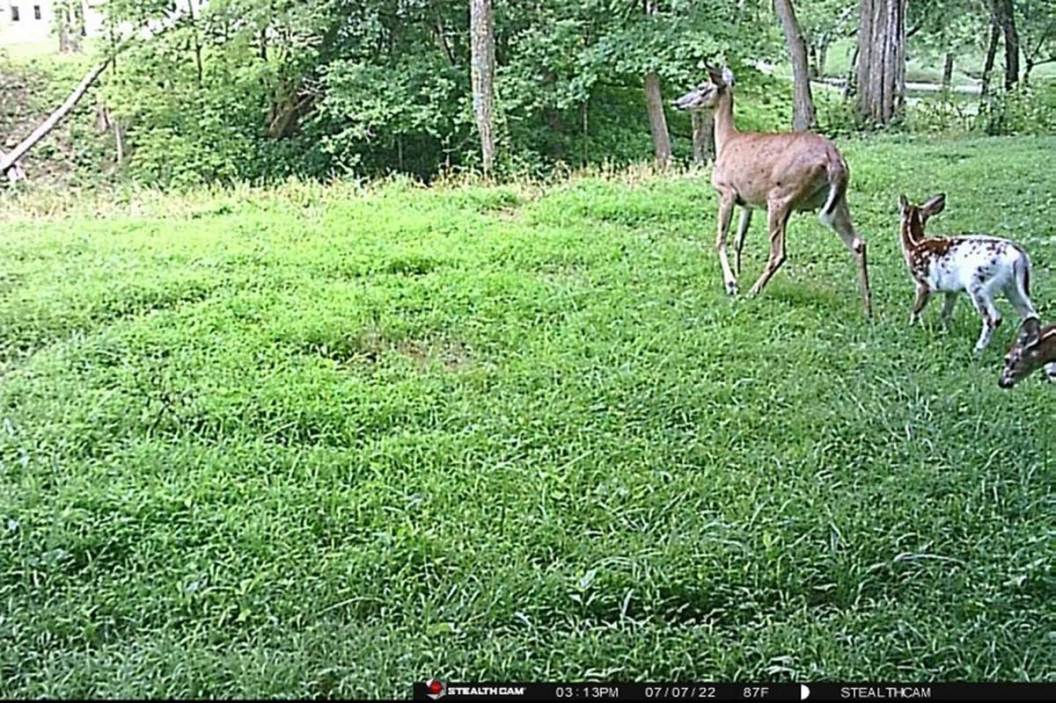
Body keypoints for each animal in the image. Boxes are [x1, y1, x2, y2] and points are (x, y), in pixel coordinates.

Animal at [672, 66, 872, 316]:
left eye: (702, 87)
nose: (678, 102)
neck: (727, 141)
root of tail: (834, 160)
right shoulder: (747, 202)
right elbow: (738, 240)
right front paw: (738, 274)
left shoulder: (727, 192)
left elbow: (720, 239)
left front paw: (731, 284)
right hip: (834, 200)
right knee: (858, 243)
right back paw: (867, 308)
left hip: (780, 197)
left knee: (778, 253)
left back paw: (754, 292)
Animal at [897, 193, 1037, 353]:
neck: (914, 244)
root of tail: (1018, 256)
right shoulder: (951, 290)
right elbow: (945, 313)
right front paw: (946, 332)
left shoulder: (924, 283)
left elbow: (917, 308)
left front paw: (911, 326)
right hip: (1012, 286)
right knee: (1030, 315)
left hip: (978, 283)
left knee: (993, 318)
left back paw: (978, 349)